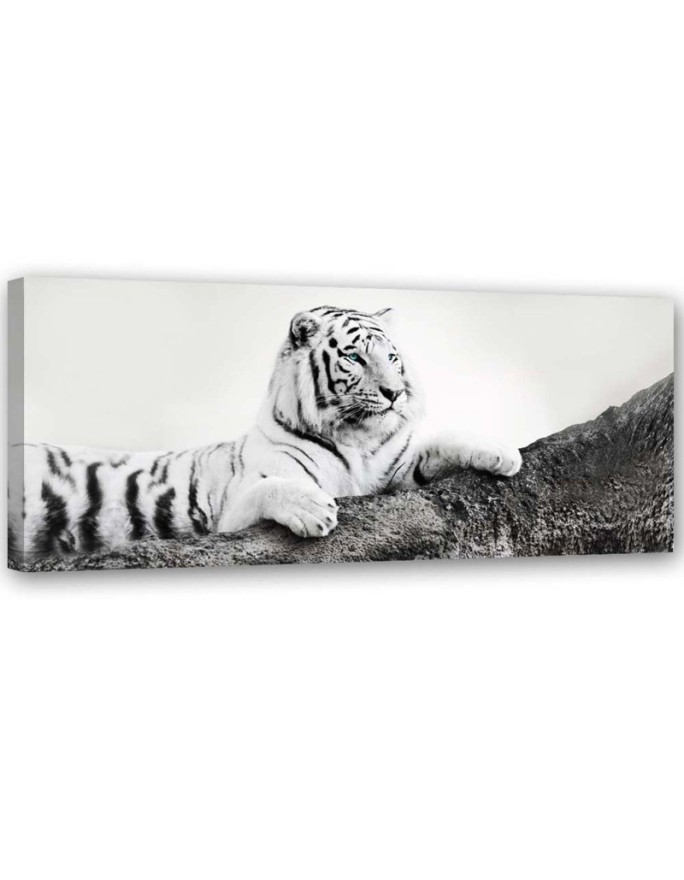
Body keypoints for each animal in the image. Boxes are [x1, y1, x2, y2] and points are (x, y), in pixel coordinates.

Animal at [8, 305, 522, 562]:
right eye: (355, 357)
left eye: (392, 357)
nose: (395, 393)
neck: (356, 439)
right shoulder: (234, 510)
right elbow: (273, 488)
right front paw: (315, 510)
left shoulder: (396, 471)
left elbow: (442, 442)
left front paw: (503, 453)